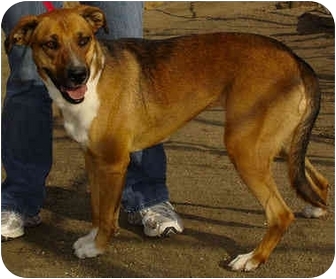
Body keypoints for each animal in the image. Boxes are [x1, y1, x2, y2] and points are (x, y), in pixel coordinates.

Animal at [6, 4, 330, 272]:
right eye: (50, 44)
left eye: (84, 39)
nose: (77, 75)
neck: (96, 78)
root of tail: (294, 58)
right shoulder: (93, 159)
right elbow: (97, 210)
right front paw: (91, 239)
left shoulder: (112, 163)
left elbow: (107, 216)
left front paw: (97, 247)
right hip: (281, 144)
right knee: (319, 179)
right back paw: (316, 208)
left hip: (244, 147)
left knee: (281, 214)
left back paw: (252, 259)